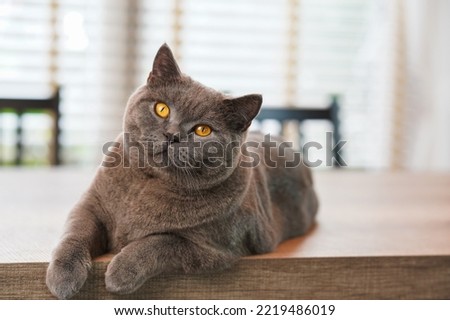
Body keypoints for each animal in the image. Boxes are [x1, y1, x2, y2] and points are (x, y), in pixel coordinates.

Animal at [45, 43, 318, 298]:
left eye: (203, 130)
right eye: (162, 108)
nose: (172, 135)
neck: (146, 184)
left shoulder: (216, 247)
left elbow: (161, 241)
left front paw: (121, 272)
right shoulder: (91, 206)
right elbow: (75, 234)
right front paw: (63, 277)